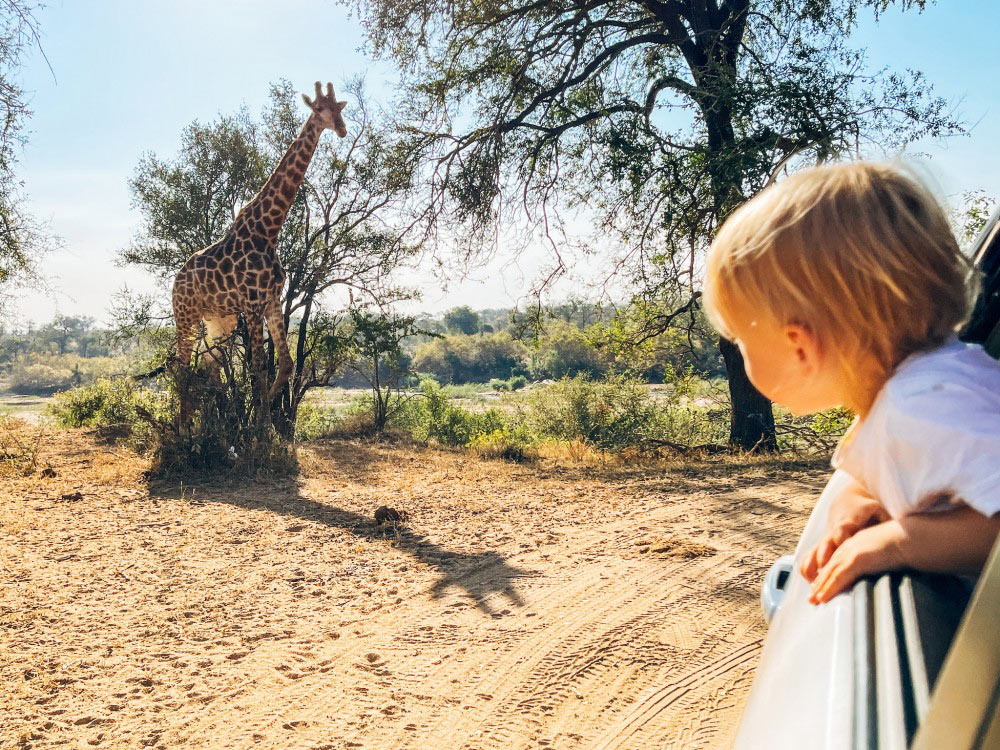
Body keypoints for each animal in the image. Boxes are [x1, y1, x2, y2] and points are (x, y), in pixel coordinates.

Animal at [170, 82, 346, 424]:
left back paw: (224, 422)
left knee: (212, 364)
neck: (268, 230)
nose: (342, 129)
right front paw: (261, 426)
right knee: (183, 366)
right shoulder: (252, 304)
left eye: (340, 109)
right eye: (319, 109)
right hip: (185, 315)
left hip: (219, 320)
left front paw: (260, 421)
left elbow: (284, 363)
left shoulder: (271, 301)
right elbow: (258, 365)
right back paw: (185, 430)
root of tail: (175, 281)